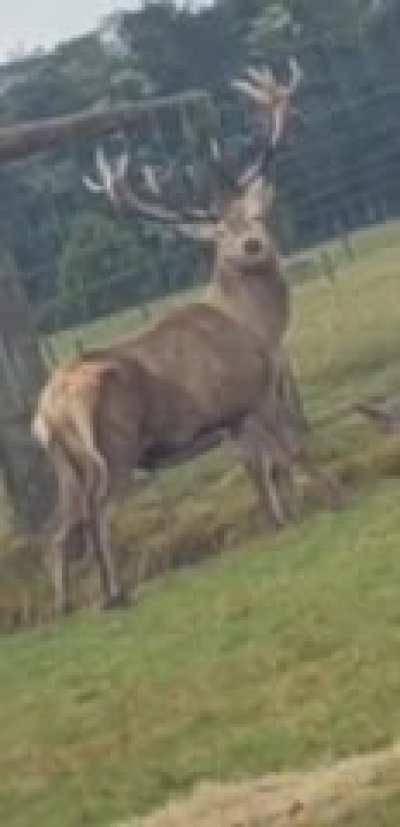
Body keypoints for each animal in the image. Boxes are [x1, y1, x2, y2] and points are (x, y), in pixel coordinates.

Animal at [33, 61, 341, 614]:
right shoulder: (255, 392)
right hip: (115, 445)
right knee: (98, 515)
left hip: (65, 463)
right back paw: (115, 593)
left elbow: (261, 469)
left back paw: (67, 605)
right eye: (218, 233)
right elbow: (290, 452)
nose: (252, 244)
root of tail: (49, 408)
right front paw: (335, 496)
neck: (258, 328)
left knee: (58, 531)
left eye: (256, 215)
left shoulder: (231, 417)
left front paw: (281, 519)